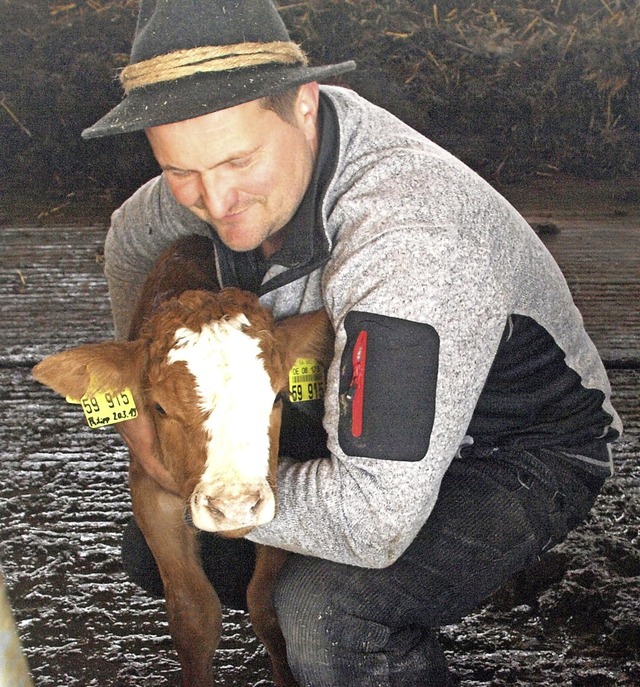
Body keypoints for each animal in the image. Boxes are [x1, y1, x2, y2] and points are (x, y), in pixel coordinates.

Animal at [33, 236, 336, 687]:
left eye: (279, 397)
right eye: (158, 407)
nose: (234, 506)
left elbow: (266, 607)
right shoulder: (150, 491)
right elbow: (194, 617)